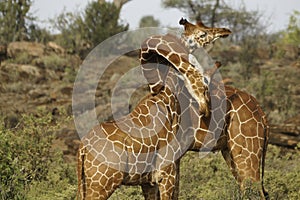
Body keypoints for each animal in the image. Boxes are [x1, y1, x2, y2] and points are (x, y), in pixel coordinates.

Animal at [76, 28, 211, 199]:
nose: (206, 108)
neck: (168, 102)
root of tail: (83, 148)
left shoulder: (148, 182)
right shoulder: (166, 175)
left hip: (85, 183)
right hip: (101, 184)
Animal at [141, 18, 270, 198]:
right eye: (203, 33)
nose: (225, 31)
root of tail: (263, 116)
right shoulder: (175, 157)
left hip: (247, 151)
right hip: (231, 152)